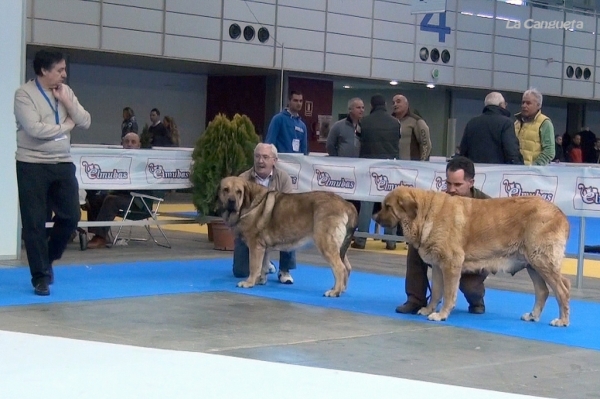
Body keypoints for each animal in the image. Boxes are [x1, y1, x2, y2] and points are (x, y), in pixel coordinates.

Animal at [217, 177, 358, 296]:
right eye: (225, 190)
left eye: (239, 192)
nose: (231, 201)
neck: (250, 204)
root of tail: (347, 204)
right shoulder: (263, 248)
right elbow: (263, 265)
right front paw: (260, 280)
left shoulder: (255, 246)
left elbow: (254, 266)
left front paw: (249, 282)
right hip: (339, 248)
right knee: (347, 267)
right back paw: (341, 289)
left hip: (326, 244)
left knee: (339, 268)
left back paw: (334, 292)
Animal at [376, 188, 572, 328]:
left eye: (388, 207)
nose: (374, 217)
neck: (426, 214)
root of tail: (561, 213)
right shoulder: (439, 267)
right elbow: (437, 292)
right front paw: (428, 310)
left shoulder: (451, 264)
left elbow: (448, 293)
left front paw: (442, 315)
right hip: (533, 264)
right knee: (543, 291)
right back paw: (533, 316)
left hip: (541, 261)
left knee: (562, 289)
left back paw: (562, 321)